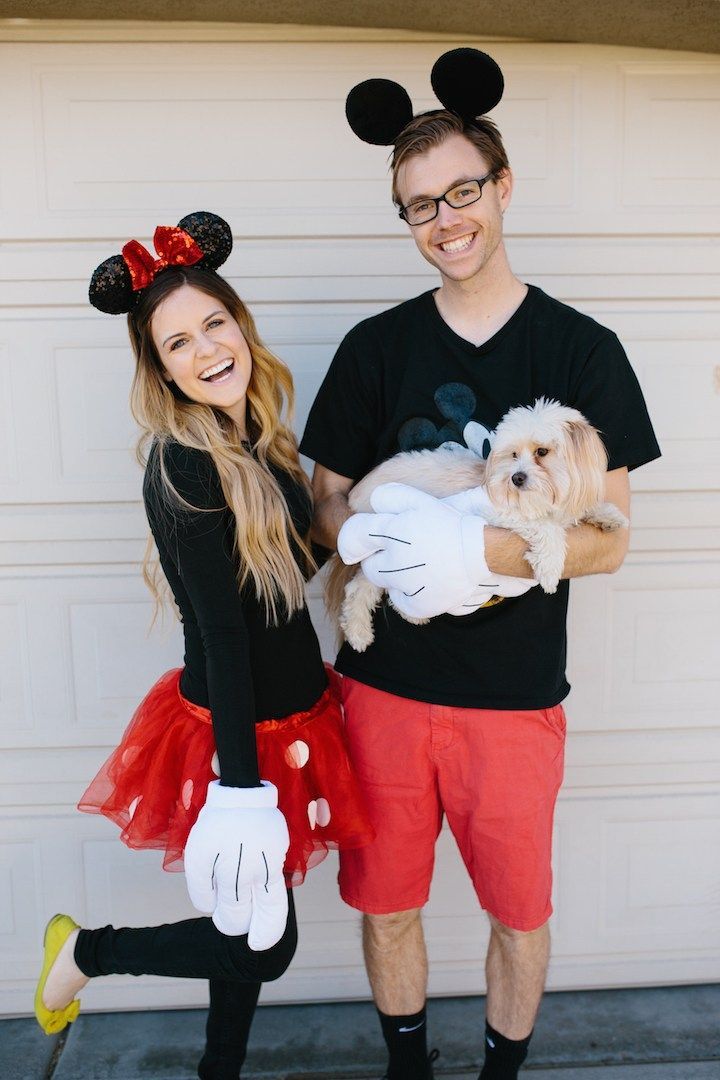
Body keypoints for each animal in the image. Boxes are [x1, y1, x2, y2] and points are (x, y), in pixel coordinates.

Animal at [330, 397, 626, 648]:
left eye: (542, 451)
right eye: (513, 454)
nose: (516, 478)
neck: (541, 500)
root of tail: (360, 489)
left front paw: (609, 516)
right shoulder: (497, 512)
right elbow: (546, 528)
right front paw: (550, 569)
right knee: (364, 587)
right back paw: (368, 629)